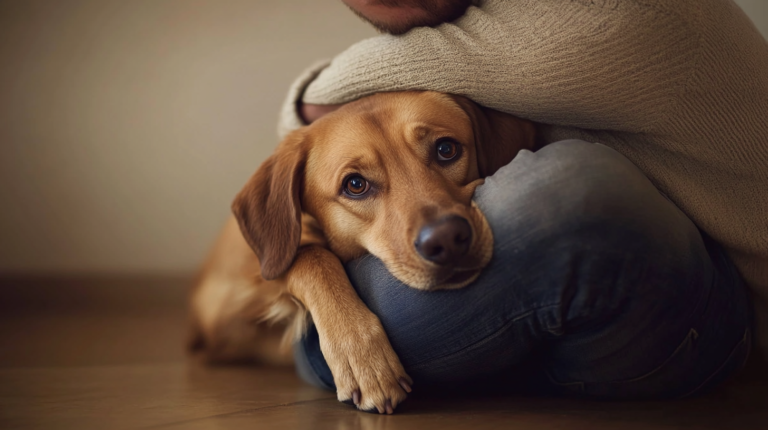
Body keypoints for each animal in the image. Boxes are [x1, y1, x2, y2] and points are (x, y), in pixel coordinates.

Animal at [188, 90, 536, 414]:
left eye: (446, 150)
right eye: (355, 184)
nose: (447, 239)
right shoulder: (226, 310)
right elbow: (310, 256)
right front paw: (363, 360)